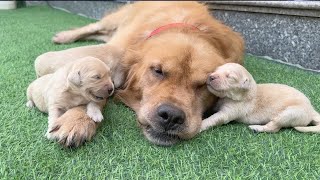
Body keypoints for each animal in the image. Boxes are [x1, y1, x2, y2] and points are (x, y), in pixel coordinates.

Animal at [35, 1, 242, 146]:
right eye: (157, 71)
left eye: (203, 84)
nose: (171, 116)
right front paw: (76, 119)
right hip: (114, 20)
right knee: (93, 28)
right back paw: (65, 36)